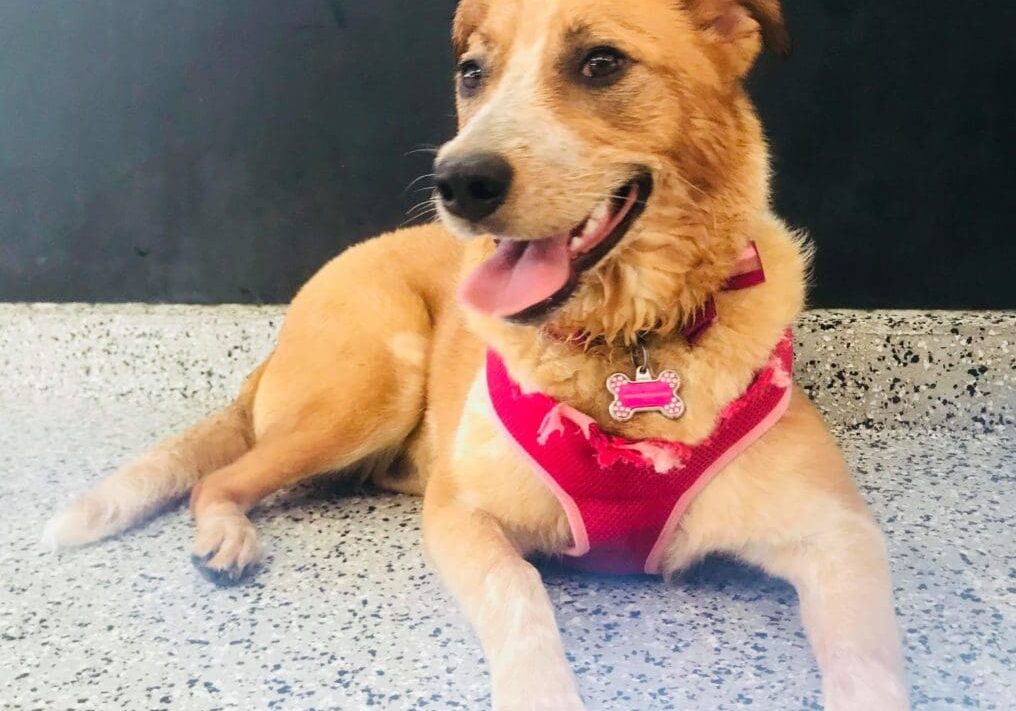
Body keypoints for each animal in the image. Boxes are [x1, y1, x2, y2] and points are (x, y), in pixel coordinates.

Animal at [45, 2, 906, 706]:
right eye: (472, 73)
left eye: (600, 62)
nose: (456, 182)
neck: (628, 344)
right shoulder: (463, 514)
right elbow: (521, 596)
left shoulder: (841, 538)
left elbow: (869, 670)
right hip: (372, 385)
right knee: (218, 479)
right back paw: (225, 533)